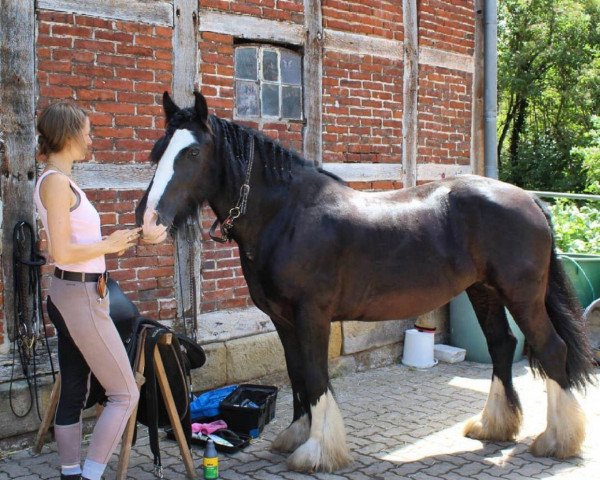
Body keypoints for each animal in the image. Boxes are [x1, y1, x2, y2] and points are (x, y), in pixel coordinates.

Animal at [136, 91, 596, 472]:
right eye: (158, 151)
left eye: (193, 152)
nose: (149, 222)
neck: (287, 215)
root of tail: (530, 200)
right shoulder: (283, 319)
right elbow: (296, 373)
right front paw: (297, 435)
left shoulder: (312, 316)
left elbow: (315, 375)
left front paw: (318, 452)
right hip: (482, 291)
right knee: (502, 345)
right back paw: (494, 427)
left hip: (522, 295)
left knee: (551, 350)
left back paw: (557, 441)